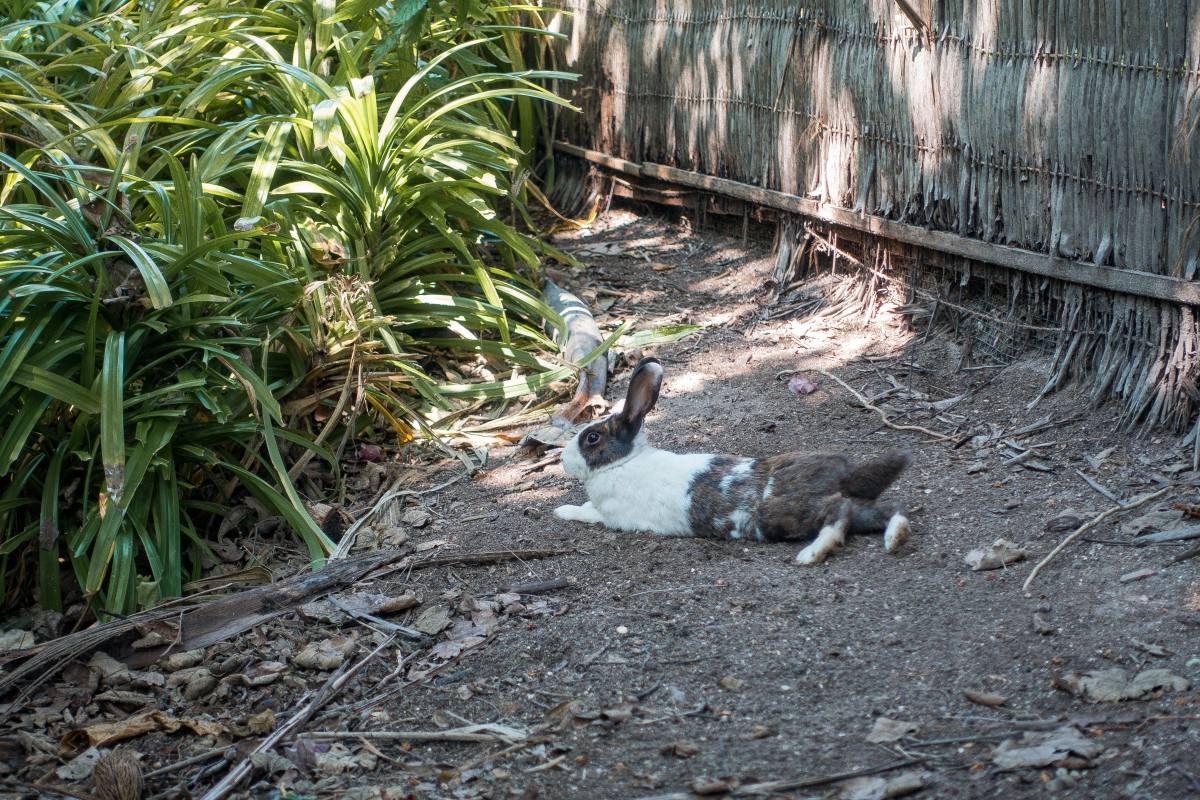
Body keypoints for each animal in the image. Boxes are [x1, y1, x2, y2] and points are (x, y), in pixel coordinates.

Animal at [552, 357, 907, 563]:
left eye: (592, 438)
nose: (564, 461)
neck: (623, 462)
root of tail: (846, 474)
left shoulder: (608, 514)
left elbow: (583, 512)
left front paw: (560, 511)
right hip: (851, 508)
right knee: (888, 510)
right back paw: (895, 538)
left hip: (784, 513)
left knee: (838, 516)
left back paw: (811, 554)